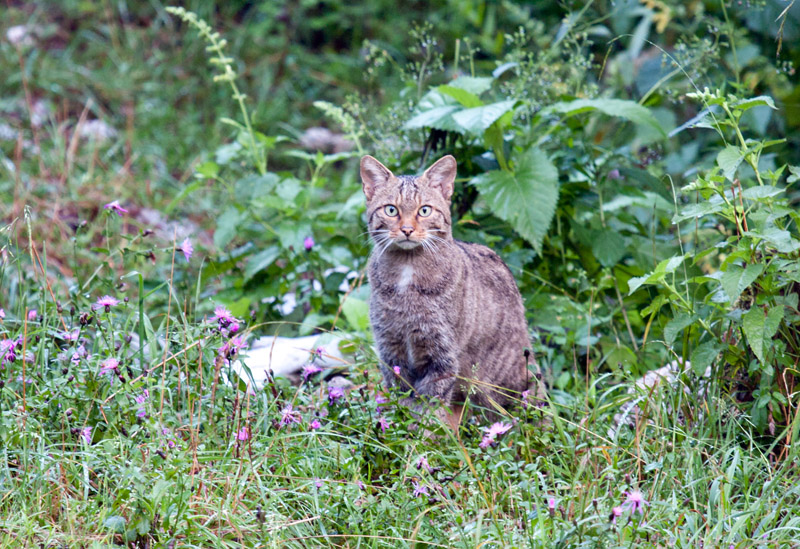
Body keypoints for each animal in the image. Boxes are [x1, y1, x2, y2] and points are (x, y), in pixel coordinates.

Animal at [360, 154, 544, 428]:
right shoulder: (391, 352)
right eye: (391, 210)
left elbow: (429, 409)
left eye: (424, 210)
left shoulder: (442, 355)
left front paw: (421, 436)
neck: (407, 270)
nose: (407, 229)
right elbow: (401, 403)